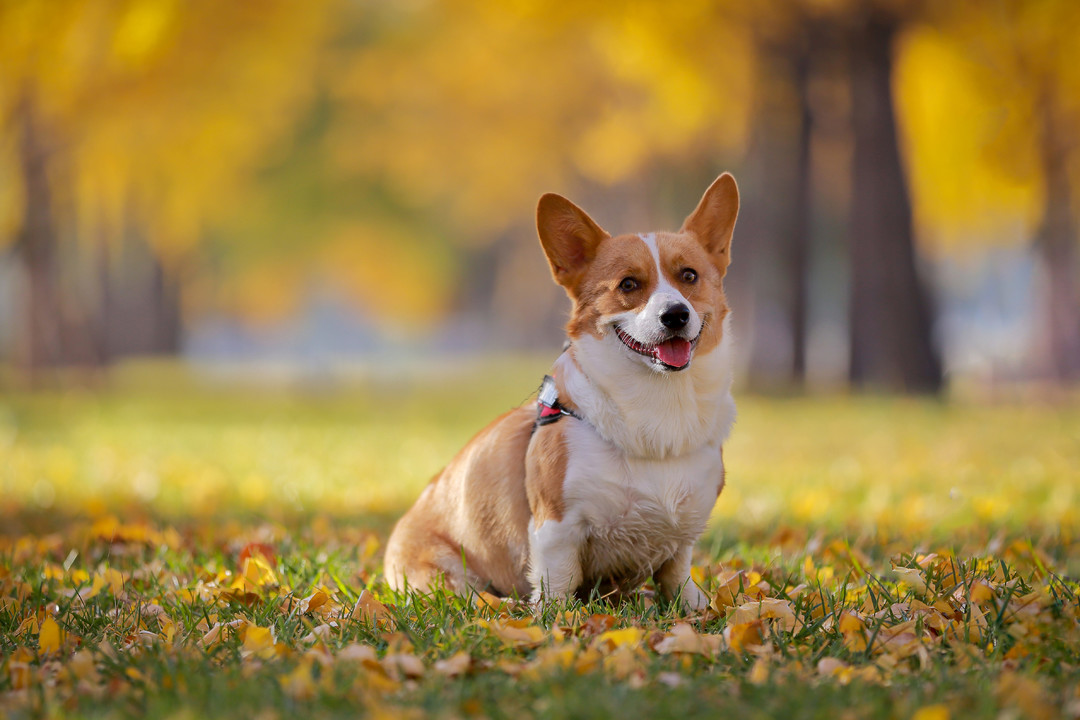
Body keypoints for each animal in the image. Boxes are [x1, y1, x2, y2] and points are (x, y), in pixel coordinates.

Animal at [384, 172, 738, 608]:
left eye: (689, 276)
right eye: (628, 284)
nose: (676, 315)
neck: (659, 406)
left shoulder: (682, 537)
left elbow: (678, 579)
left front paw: (696, 609)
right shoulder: (556, 529)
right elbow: (559, 585)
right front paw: (559, 618)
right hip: (447, 574)